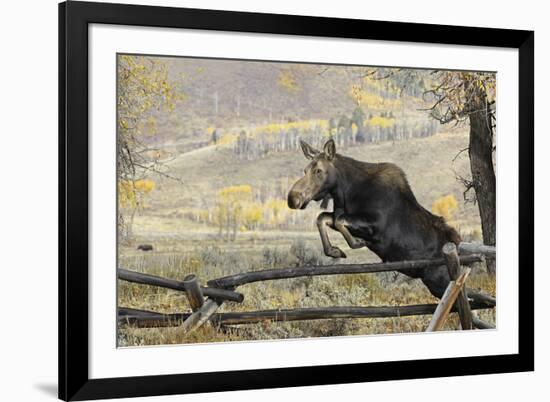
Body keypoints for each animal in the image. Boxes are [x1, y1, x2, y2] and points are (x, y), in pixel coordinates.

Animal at [288, 138, 466, 298]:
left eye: (318, 170)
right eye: (305, 170)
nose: (293, 198)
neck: (344, 194)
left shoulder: (376, 225)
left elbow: (338, 221)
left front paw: (357, 243)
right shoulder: (343, 215)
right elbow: (322, 218)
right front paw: (335, 251)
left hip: (440, 282)